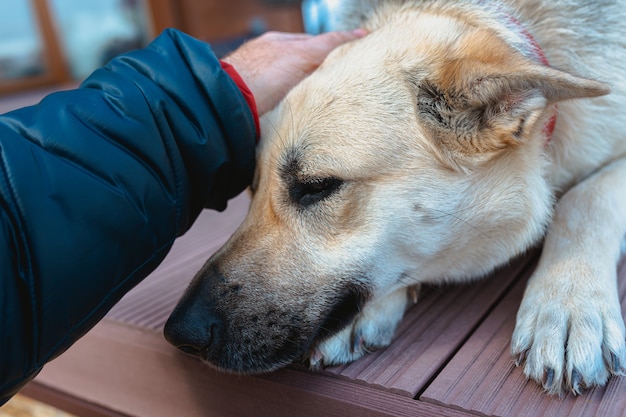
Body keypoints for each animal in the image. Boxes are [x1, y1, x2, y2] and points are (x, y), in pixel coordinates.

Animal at [166, 0, 624, 396]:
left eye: (316, 185)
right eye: (252, 187)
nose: (179, 332)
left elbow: (584, 200)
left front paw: (567, 307)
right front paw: (371, 310)